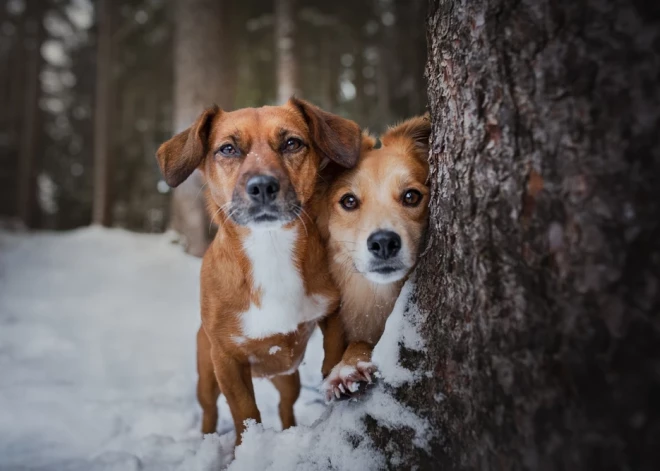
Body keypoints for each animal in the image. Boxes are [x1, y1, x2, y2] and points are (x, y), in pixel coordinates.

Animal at [156, 97, 360, 444]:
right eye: (227, 149)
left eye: (292, 143)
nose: (263, 185)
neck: (270, 248)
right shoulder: (227, 360)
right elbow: (246, 414)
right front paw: (246, 447)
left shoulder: (333, 313)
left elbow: (333, 355)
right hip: (206, 378)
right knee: (210, 411)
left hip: (289, 378)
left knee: (285, 407)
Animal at [316, 115, 430, 398]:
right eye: (349, 201)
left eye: (411, 196)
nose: (384, 243)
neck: (378, 297)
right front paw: (348, 366)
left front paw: (350, 366)